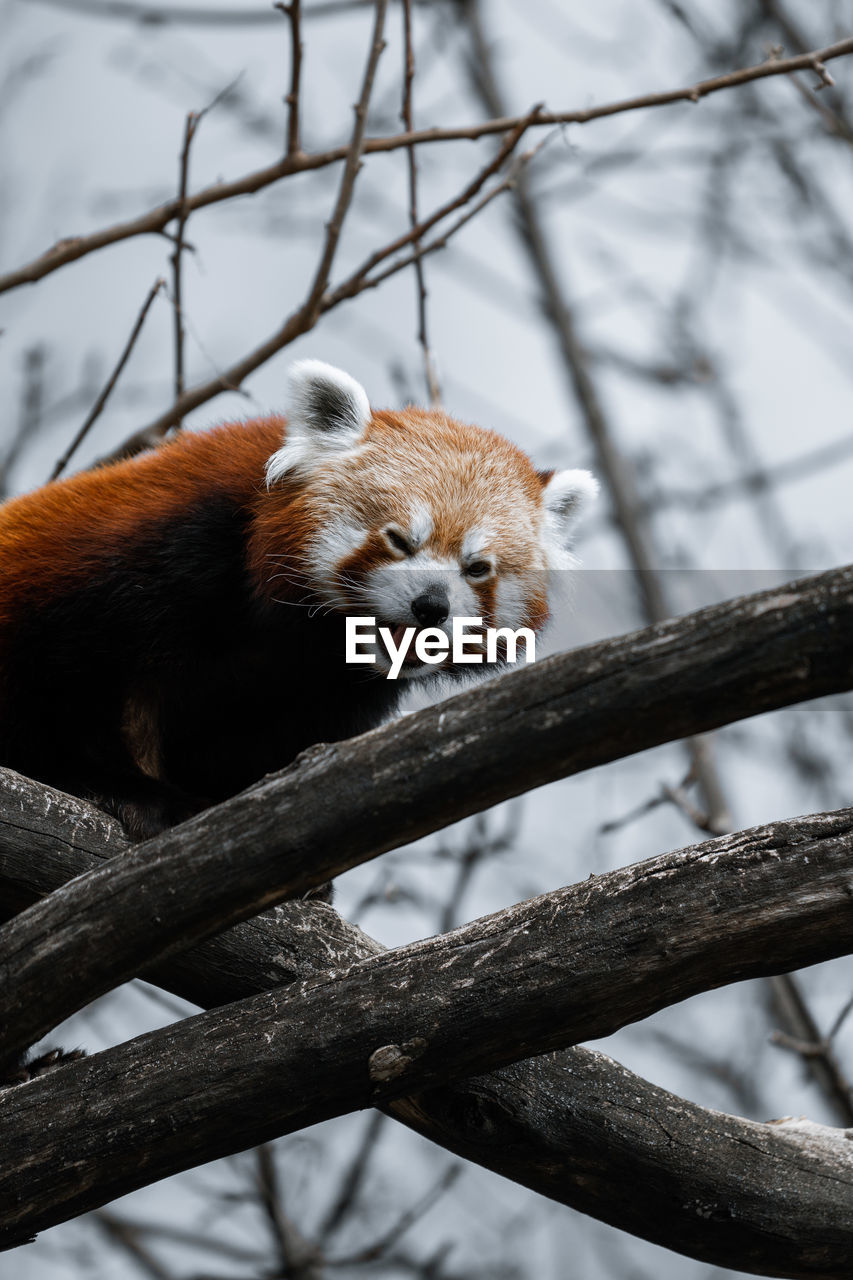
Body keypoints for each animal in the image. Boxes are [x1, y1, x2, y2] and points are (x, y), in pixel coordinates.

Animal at [0, 360, 594, 839]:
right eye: (400, 541)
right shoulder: (156, 556)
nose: (431, 606)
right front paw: (129, 790)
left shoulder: (322, 695)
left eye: (476, 569)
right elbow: (78, 681)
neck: (289, 636)